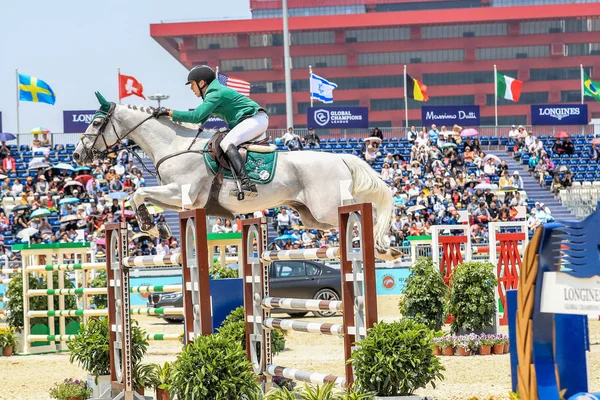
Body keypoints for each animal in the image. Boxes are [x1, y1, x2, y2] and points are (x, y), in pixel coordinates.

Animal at [71, 92, 398, 258]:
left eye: (97, 122)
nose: (77, 155)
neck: (175, 145)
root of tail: (341, 157)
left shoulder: (181, 192)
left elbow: (138, 192)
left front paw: (150, 226)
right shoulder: (181, 200)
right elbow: (136, 196)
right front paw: (156, 228)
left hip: (328, 207)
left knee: (364, 213)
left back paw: (384, 246)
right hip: (310, 216)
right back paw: (384, 247)